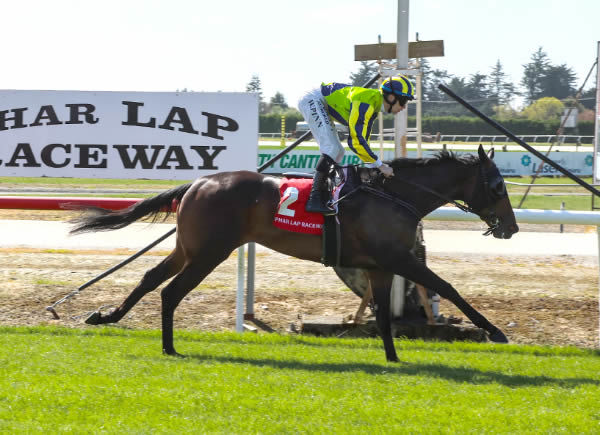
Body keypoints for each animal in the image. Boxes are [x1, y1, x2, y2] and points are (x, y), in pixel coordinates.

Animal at [70, 145, 516, 362]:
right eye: (498, 187)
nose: (510, 227)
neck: (394, 195)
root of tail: (197, 183)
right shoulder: (399, 259)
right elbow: (449, 287)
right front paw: (495, 331)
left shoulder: (381, 266)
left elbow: (385, 316)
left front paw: (392, 358)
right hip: (210, 252)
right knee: (170, 291)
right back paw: (169, 347)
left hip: (189, 248)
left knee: (150, 280)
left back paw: (106, 316)